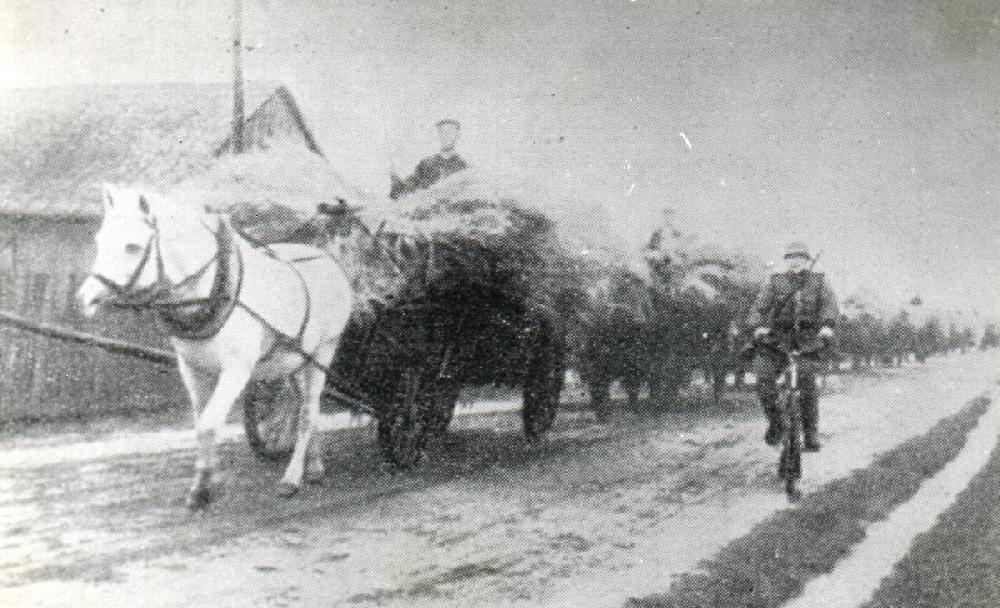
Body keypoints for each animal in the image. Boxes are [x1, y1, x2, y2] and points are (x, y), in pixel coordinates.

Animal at [78, 185, 354, 508]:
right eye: (100, 240)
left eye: (132, 246)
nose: (84, 299)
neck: (214, 290)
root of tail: (327, 258)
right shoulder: (192, 369)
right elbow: (200, 423)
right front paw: (205, 479)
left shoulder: (236, 370)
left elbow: (210, 423)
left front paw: (205, 486)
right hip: (296, 359)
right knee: (306, 407)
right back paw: (314, 464)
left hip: (324, 351)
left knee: (309, 412)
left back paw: (293, 476)